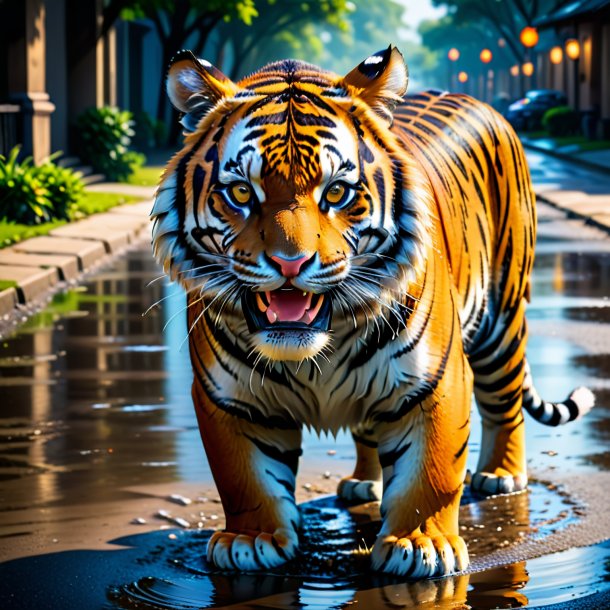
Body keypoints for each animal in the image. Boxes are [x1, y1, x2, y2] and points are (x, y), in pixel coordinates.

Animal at [150, 46, 592, 576]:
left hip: (500, 319)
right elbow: (244, 475)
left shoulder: (437, 380)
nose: (290, 263)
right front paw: (251, 539)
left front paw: (422, 545)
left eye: (336, 192)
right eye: (241, 193)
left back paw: (501, 474)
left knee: (505, 402)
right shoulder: (230, 398)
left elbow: (432, 470)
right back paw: (364, 482)